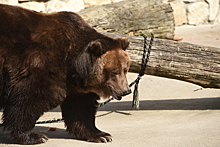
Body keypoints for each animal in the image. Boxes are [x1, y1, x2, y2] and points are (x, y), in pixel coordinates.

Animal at [0, 3, 131, 145]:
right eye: (114, 72)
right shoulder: (40, 64)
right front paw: (34, 136)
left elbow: (80, 108)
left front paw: (101, 135)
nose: (126, 90)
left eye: (125, 69)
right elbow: (28, 99)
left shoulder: (76, 86)